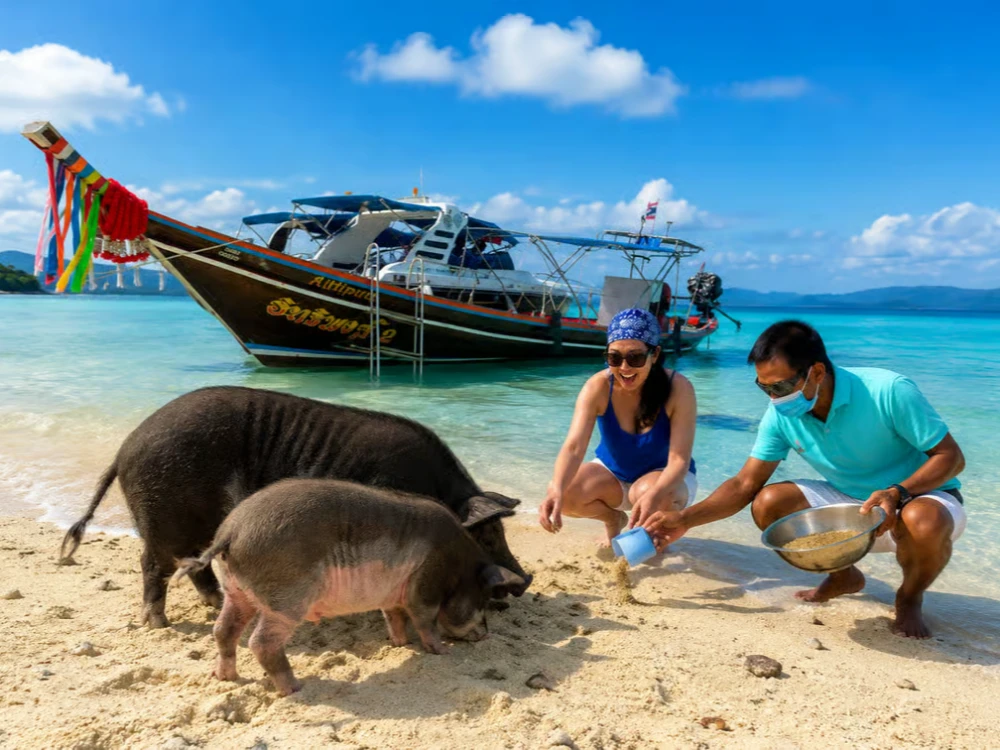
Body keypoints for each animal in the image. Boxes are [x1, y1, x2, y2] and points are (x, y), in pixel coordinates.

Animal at [59, 386, 531, 628]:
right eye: (489, 535)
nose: (524, 580)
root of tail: (124, 450)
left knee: (191, 564)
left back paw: (213, 602)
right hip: (162, 516)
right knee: (153, 564)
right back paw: (157, 624)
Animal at [174, 478, 525, 695]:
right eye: (483, 602)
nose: (486, 634)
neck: (458, 569)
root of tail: (229, 532)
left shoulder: (392, 595)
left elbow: (394, 617)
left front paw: (400, 645)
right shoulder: (424, 584)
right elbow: (425, 620)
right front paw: (440, 650)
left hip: (236, 592)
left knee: (223, 631)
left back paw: (224, 677)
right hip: (286, 599)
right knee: (261, 642)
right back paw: (295, 689)